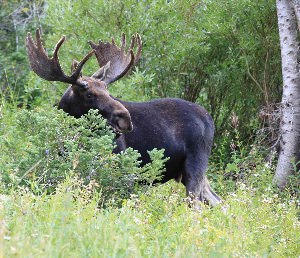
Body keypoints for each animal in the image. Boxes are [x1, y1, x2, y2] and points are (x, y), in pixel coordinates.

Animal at [25, 28, 221, 206]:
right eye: (89, 94)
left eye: (107, 90)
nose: (126, 118)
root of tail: (210, 119)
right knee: (217, 201)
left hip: (195, 164)